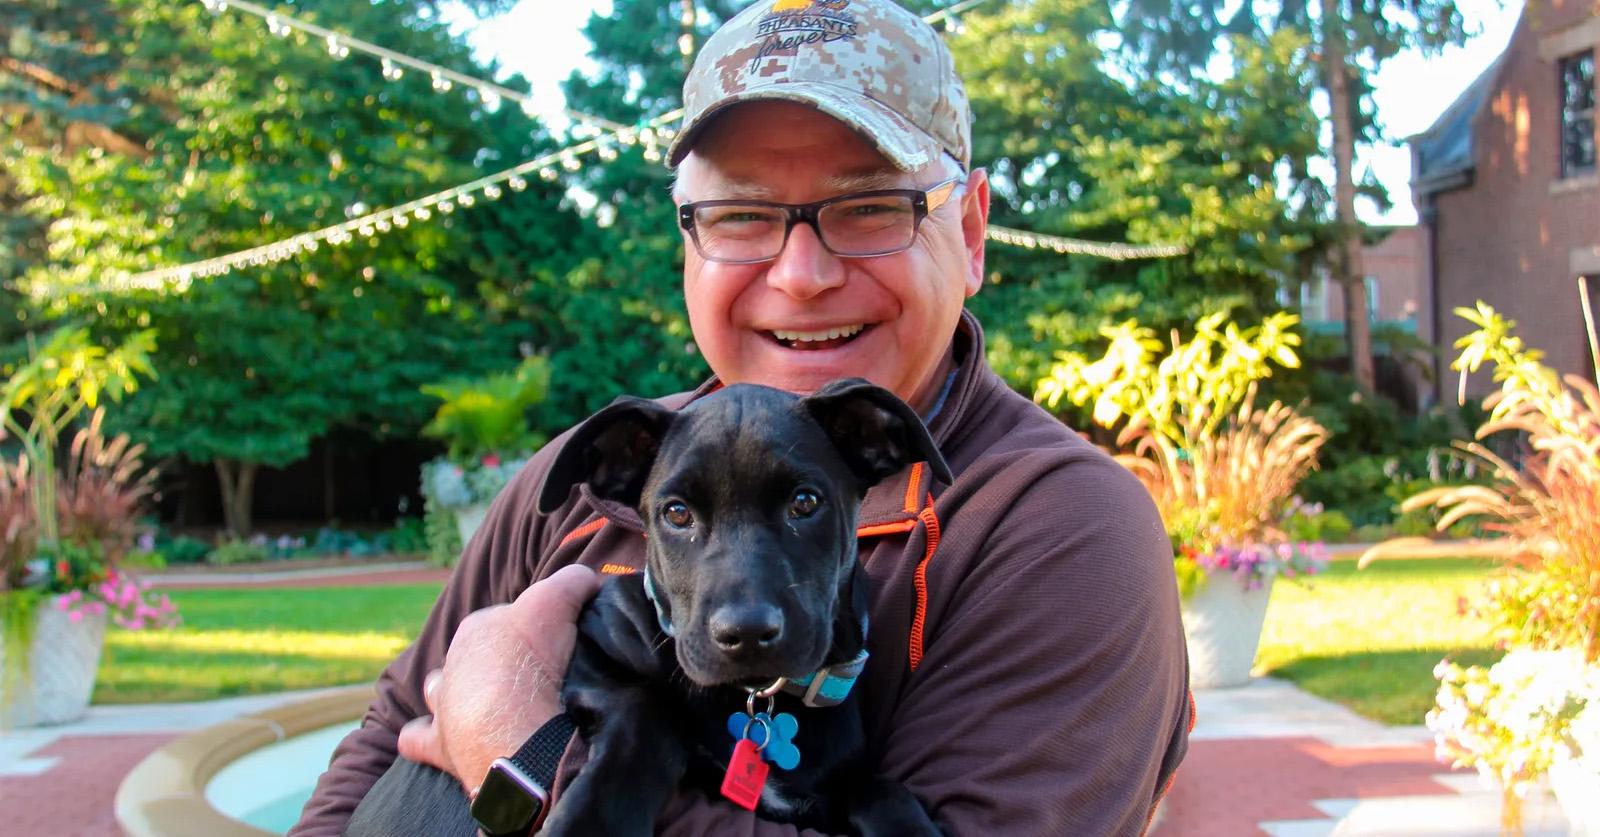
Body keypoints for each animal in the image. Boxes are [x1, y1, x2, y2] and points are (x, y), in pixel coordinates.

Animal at [534, 380, 947, 837]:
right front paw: (593, 820)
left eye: (805, 502)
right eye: (677, 513)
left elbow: (881, 791)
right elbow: (645, 708)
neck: (758, 699)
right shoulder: (594, 643)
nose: (746, 633)